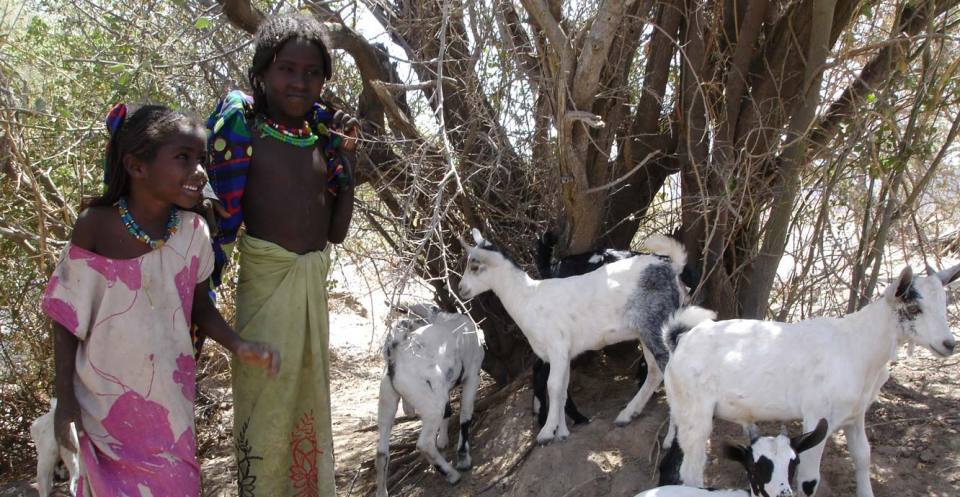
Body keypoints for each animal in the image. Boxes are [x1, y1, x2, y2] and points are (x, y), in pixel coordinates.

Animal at [374, 304, 484, 494]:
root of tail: (396, 355)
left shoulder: (444, 387)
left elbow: (449, 410)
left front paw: (442, 440)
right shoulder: (472, 375)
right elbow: (465, 415)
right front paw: (463, 458)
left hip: (387, 399)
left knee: (381, 452)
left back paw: (382, 492)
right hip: (431, 406)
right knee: (424, 444)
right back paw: (452, 475)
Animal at [460, 229, 688, 442]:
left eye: (475, 266)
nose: (461, 289)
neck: (528, 298)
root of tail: (672, 268)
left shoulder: (557, 346)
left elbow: (553, 386)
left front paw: (546, 432)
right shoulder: (564, 353)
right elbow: (562, 389)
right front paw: (562, 432)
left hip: (657, 324)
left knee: (670, 370)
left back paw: (671, 436)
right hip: (646, 329)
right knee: (654, 371)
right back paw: (627, 415)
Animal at [660, 264, 960, 496]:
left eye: (944, 304)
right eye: (914, 307)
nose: (949, 344)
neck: (857, 345)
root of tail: (680, 339)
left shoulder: (856, 414)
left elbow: (863, 457)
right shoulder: (818, 415)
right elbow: (808, 480)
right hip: (695, 410)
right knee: (691, 468)